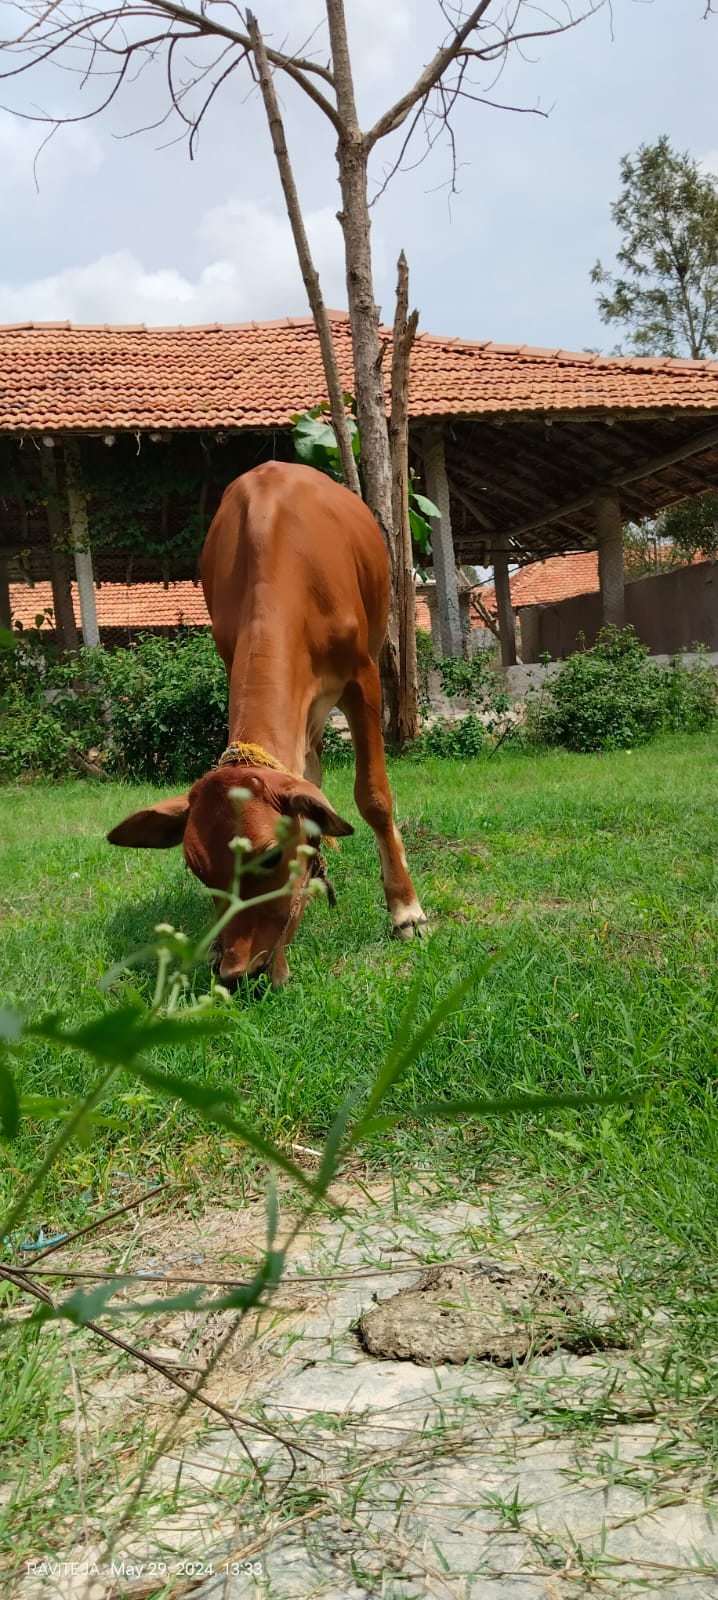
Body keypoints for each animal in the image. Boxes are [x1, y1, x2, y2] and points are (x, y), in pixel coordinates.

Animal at [107, 461, 426, 987]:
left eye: (270, 857)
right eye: (198, 870)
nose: (238, 972)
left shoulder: (362, 679)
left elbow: (374, 796)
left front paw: (406, 912)